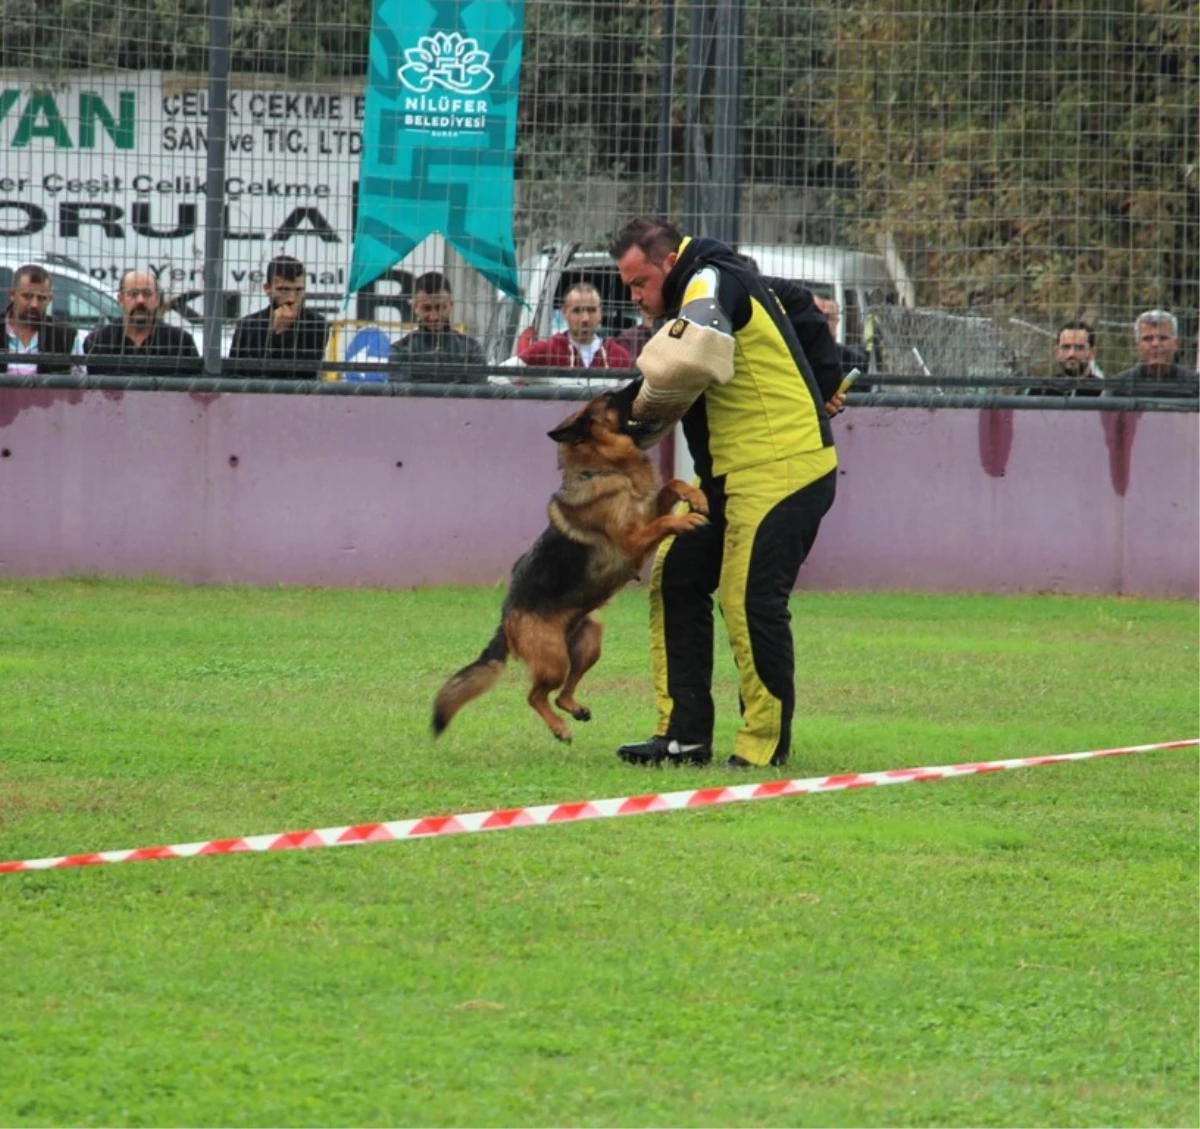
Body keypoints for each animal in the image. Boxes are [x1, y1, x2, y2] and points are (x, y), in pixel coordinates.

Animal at [432, 391, 705, 743]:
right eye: (611, 399)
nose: (636, 383)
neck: (607, 469)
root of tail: (506, 620)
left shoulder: (647, 513)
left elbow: (672, 484)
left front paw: (695, 496)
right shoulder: (632, 543)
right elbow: (664, 521)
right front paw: (684, 520)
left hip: (590, 641)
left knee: (562, 692)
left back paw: (574, 708)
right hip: (555, 660)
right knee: (535, 695)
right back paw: (559, 727)